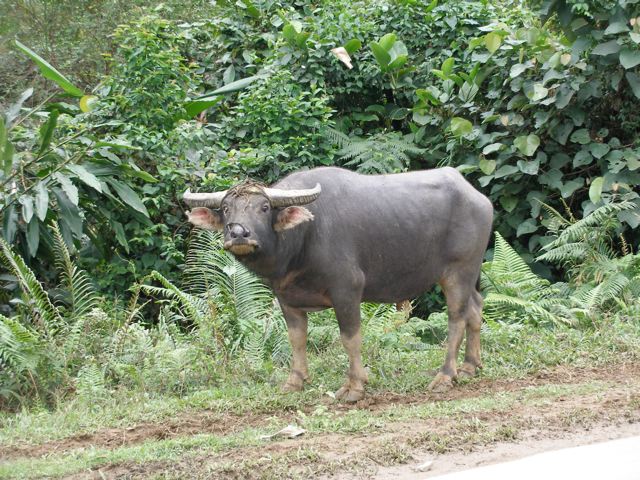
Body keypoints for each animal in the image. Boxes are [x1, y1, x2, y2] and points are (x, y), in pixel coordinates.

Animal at [184, 166, 493, 402]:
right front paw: (295, 381)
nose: (238, 233)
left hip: (458, 271)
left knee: (456, 318)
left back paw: (446, 375)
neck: (304, 237)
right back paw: (470, 366)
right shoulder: (286, 298)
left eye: (264, 207)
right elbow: (297, 338)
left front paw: (354, 385)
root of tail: (480, 199)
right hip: (469, 275)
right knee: (475, 310)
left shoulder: (347, 290)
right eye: (226, 208)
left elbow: (349, 337)